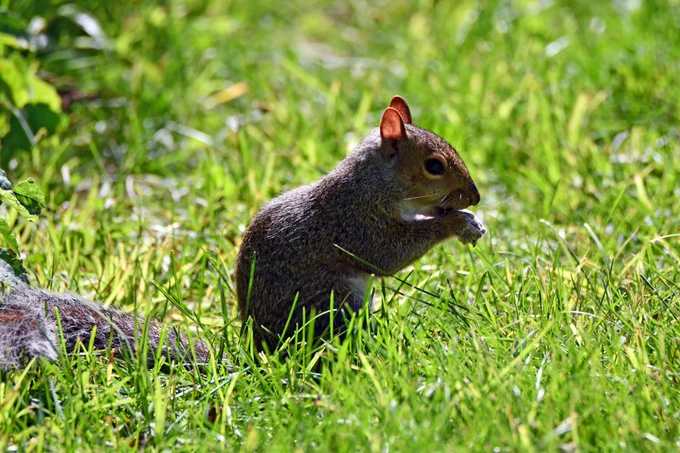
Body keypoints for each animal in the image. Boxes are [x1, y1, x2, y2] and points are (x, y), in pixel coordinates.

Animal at [235, 96, 486, 351]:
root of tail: (259, 345)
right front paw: (457, 222)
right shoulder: (357, 223)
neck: (374, 183)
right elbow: (386, 257)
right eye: (434, 166)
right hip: (333, 302)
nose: (475, 198)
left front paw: (472, 220)